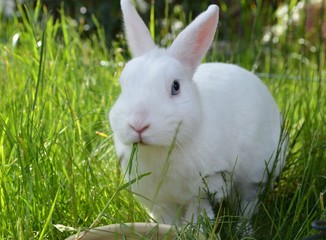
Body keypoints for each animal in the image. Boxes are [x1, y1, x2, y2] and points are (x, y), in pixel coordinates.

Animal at [109, 0, 286, 227]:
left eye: (175, 87)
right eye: (123, 86)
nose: (138, 125)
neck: (162, 150)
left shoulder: (203, 190)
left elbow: (198, 216)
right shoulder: (159, 201)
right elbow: (167, 221)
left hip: (255, 177)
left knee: (246, 207)